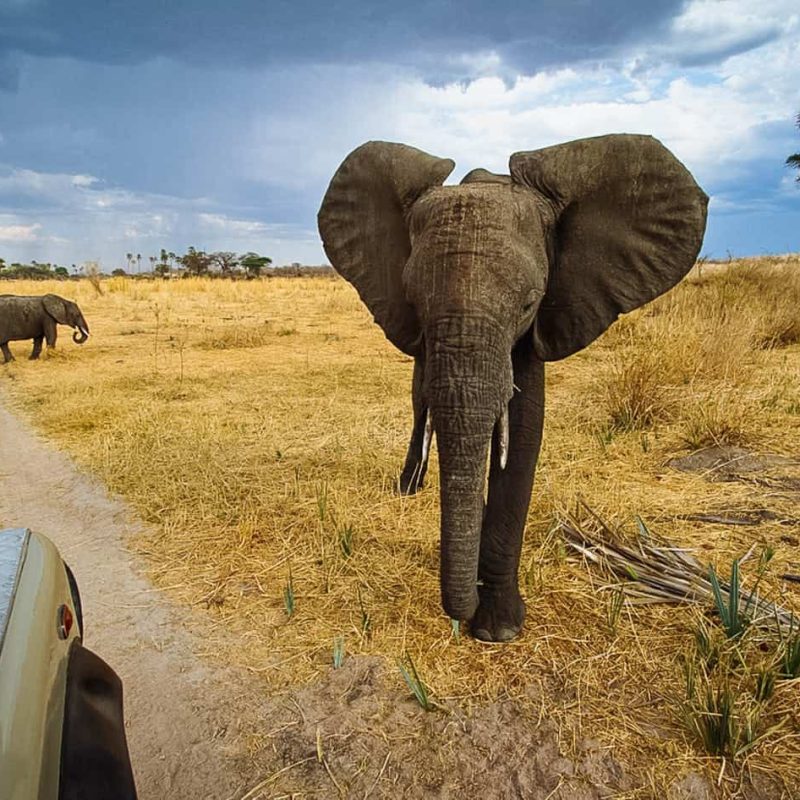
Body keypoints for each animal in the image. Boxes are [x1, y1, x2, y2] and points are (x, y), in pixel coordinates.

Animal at [318, 134, 707, 643]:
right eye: (414, 303)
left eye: (527, 304)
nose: (460, 614)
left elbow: (523, 430)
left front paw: (498, 630)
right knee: (420, 397)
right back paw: (409, 488)